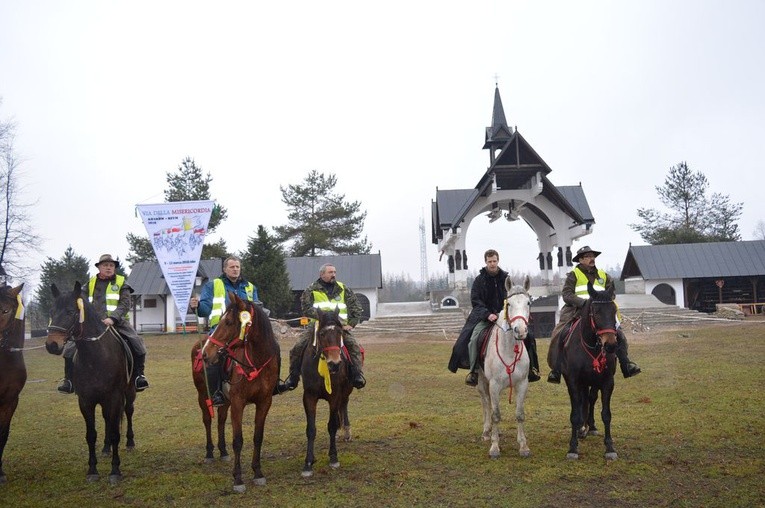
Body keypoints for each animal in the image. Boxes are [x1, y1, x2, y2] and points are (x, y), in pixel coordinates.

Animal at [44, 282, 136, 484]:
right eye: (52, 311)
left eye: (71, 312)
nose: (52, 345)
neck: (95, 357)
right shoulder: (86, 401)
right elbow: (91, 435)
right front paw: (93, 470)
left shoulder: (114, 398)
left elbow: (115, 433)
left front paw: (115, 471)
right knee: (108, 421)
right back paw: (106, 449)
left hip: (129, 393)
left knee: (128, 413)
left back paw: (130, 442)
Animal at [200, 292, 278, 494]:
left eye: (228, 322)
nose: (206, 353)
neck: (256, 362)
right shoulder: (238, 403)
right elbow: (238, 440)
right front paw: (238, 479)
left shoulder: (264, 402)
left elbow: (258, 437)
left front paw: (258, 473)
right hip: (203, 396)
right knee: (207, 421)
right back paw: (210, 453)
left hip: (225, 401)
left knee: (220, 421)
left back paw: (223, 452)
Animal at [302, 308, 356, 478]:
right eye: (321, 334)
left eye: (340, 332)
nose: (335, 364)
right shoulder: (309, 397)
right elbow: (311, 429)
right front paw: (308, 463)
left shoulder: (335, 395)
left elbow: (331, 426)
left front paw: (333, 458)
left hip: (346, 390)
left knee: (344, 405)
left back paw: (346, 431)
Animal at [478, 276, 532, 458]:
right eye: (509, 304)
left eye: (528, 303)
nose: (520, 330)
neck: (509, 350)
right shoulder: (494, 385)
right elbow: (496, 415)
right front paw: (495, 447)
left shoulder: (522, 384)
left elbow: (520, 414)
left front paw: (523, 446)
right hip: (482, 380)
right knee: (486, 402)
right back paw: (487, 432)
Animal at [548, 282, 616, 460]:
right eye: (596, 313)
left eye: (614, 311)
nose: (611, 345)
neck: (591, 345)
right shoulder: (573, 381)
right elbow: (575, 413)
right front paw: (572, 448)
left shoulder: (607, 381)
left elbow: (606, 414)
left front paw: (610, 447)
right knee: (581, 402)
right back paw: (581, 428)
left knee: (590, 399)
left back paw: (589, 427)